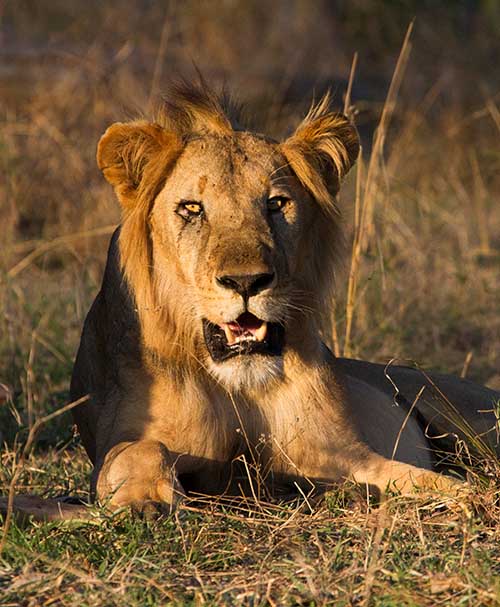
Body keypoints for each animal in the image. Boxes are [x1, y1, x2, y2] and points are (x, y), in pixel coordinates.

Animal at [1, 81, 498, 524]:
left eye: (276, 204)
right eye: (192, 209)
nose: (246, 281)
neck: (236, 384)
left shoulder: (344, 454)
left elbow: (410, 474)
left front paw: (470, 496)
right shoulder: (130, 436)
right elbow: (138, 449)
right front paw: (146, 500)